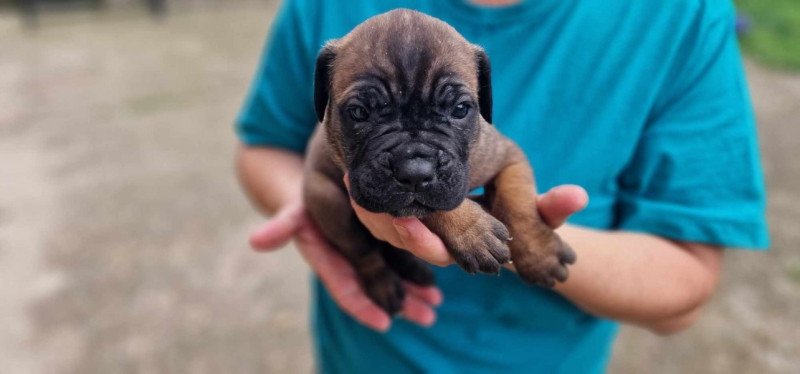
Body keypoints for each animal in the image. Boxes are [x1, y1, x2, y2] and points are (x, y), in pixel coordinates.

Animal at [302, 8, 576, 314]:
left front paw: (539, 255)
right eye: (359, 113)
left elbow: (518, 202)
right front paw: (473, 231)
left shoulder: (508, 157)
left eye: (460, 109)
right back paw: (384, 285)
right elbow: (433, 207)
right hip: (327, 201)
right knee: (364, 253)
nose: (414, 172)